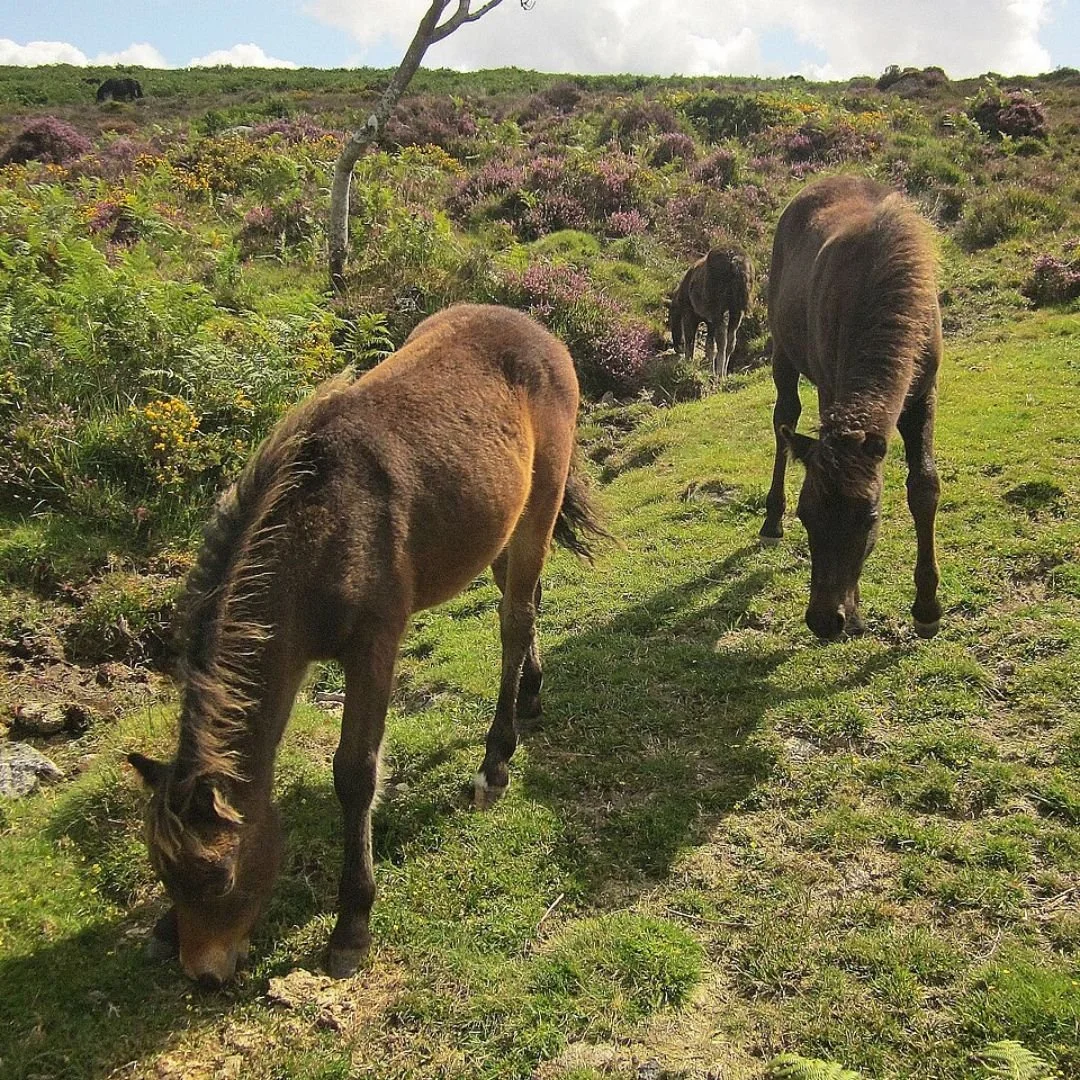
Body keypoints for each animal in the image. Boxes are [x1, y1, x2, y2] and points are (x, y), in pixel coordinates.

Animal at [129, 304, 607, 986]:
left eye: (220, 878)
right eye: (163, 873)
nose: (205, 973)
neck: (316, 532)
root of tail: (540, 333)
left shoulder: (374, 647)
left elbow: (355, 772)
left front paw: (351, 924)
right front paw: (164, 930)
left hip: (539, 505)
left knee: (515, 620)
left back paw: (496, 759)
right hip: (501, 524)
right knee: (528, 602)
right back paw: (531, 697)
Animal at [669, 244, 753, 381]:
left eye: (671, 318)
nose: (677, 347)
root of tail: (735, 262)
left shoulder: (690, 314)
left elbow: (691, 340)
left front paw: (688, 363)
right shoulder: (710, 321)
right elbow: (708, 345)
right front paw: (708, 366)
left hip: (719, 308)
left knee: (722, 340)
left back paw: (719, 373)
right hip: (737, 309)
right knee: (731, 340)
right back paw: (723, 373)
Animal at [758, 175, 943, 641]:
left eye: (869, 516)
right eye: (806, 515)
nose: (825, 620)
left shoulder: (924, 393)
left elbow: (924, 487)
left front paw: (927, 608)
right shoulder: (830, 386)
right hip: (783, 351)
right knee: (784, 418)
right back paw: (770, 521)